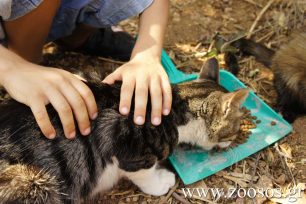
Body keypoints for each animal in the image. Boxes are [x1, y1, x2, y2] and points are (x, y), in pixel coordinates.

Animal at [0, 57, 249, 204]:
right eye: (236, 128)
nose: (235, 141)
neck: (177, 107)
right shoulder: (131, 153)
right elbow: (145, 173)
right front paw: (161, 182)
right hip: (31, 182)